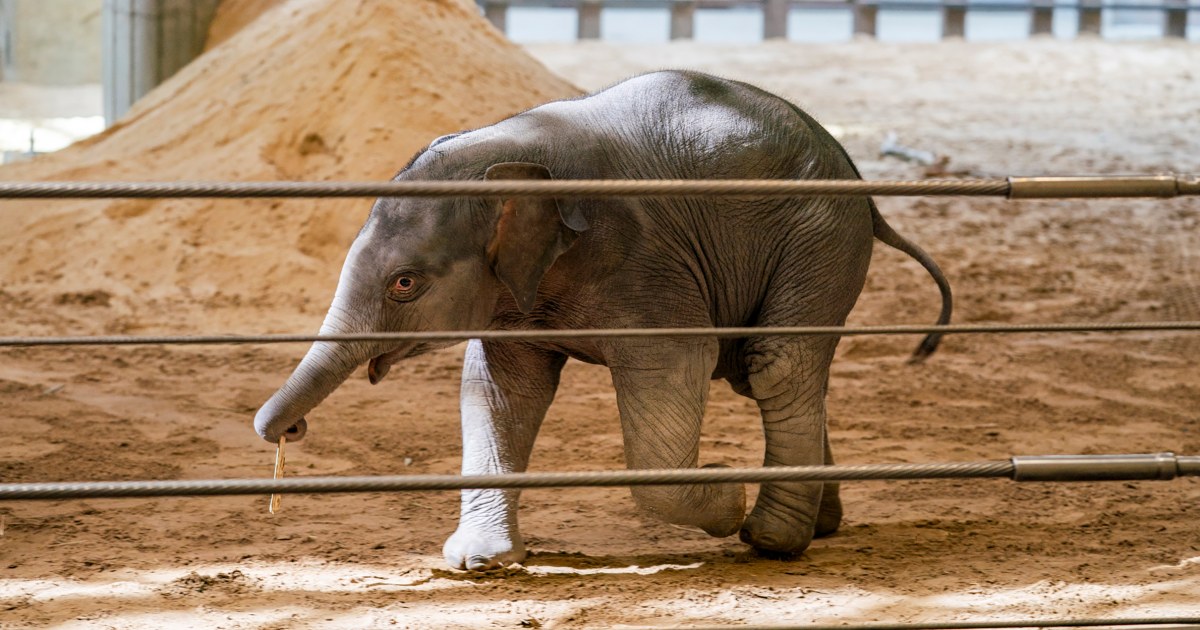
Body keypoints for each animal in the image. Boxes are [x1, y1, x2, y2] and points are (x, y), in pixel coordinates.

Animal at [253, 70, 952, 571]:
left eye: (404, 284)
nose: (290, 430)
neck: (509, 154)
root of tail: (859, 178)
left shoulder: (645, 263)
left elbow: (676, 366)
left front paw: (724, 491)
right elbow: (503, 390)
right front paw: (478, 561)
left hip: (819, 238)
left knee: (776, 364)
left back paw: (771, 537)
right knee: (766, 374)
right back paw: (819, 526)